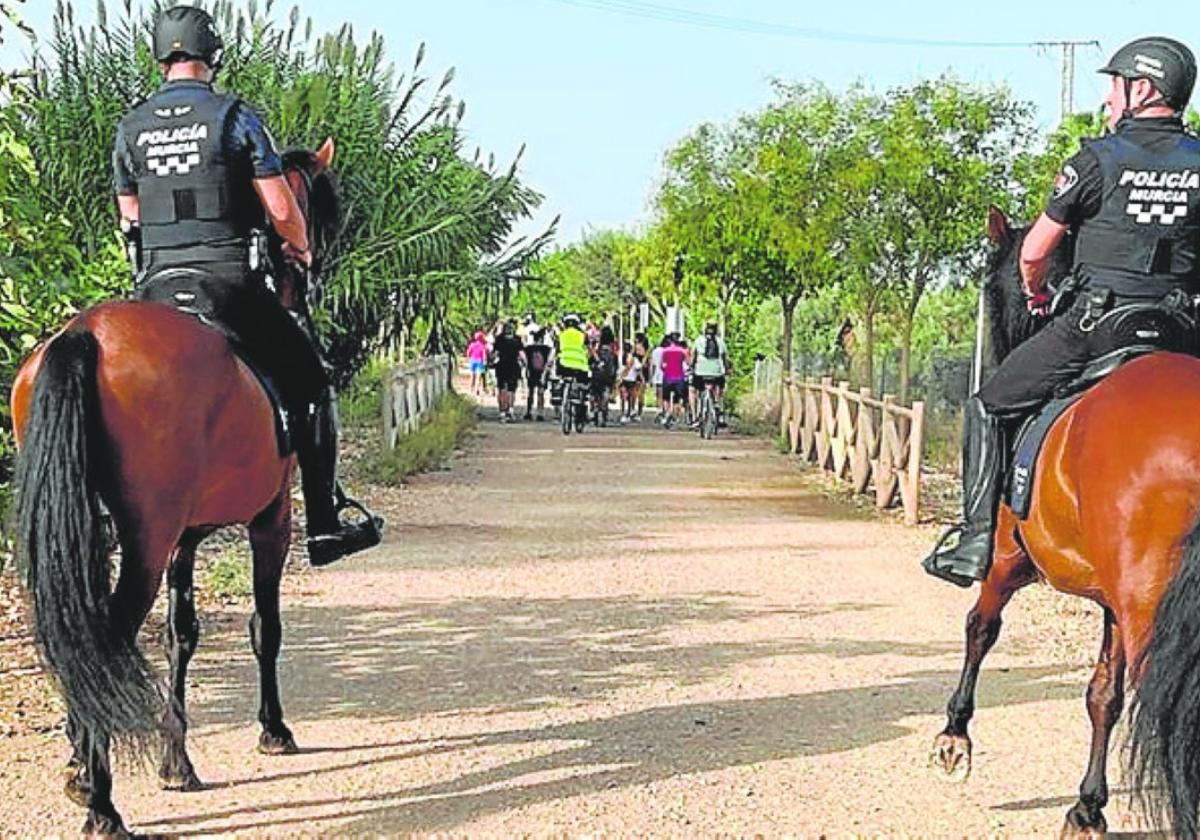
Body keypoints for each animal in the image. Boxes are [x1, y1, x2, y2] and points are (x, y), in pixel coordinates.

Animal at [12, 138, 343, 835]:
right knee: (104, 640)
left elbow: (180, 634)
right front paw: (273, 729)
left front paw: (176, 760)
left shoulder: (184, 538)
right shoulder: (271, 519)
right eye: (312, 209)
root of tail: (84, 336)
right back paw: (100, 801)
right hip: (146, 539)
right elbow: (264, 624)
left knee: (76, 639)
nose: (309, 266)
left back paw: (84, 770)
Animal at [931, 206, 1200, 835]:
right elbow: (1104, 695)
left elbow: (980, 627)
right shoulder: (1114, 604)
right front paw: (1087, 808)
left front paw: (954, 736)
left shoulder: (1006, 561)